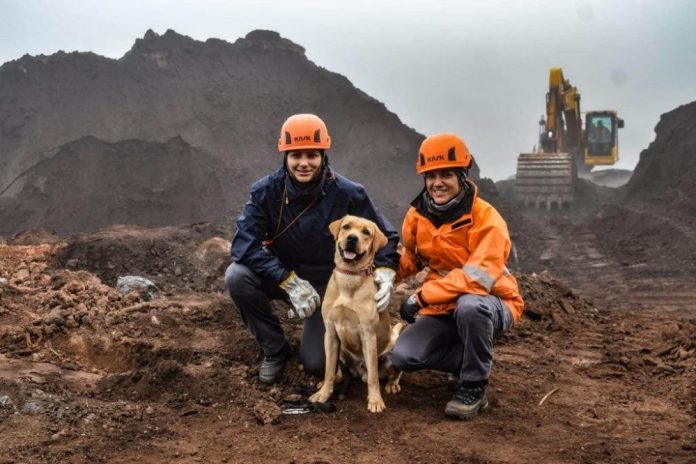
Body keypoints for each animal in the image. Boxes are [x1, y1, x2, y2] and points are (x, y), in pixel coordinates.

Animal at [310, 215, 402, 414]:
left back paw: (392, 384)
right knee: (337, 371)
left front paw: (375, 400)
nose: (352, 238)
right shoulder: (330, 333)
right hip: (342, 350)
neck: (349, 277)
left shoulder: (368, 334)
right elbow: (329, 369)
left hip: (392, 350)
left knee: (392, 373)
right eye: (346, 227)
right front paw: (324, 393)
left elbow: (374, 376)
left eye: (366, 232)